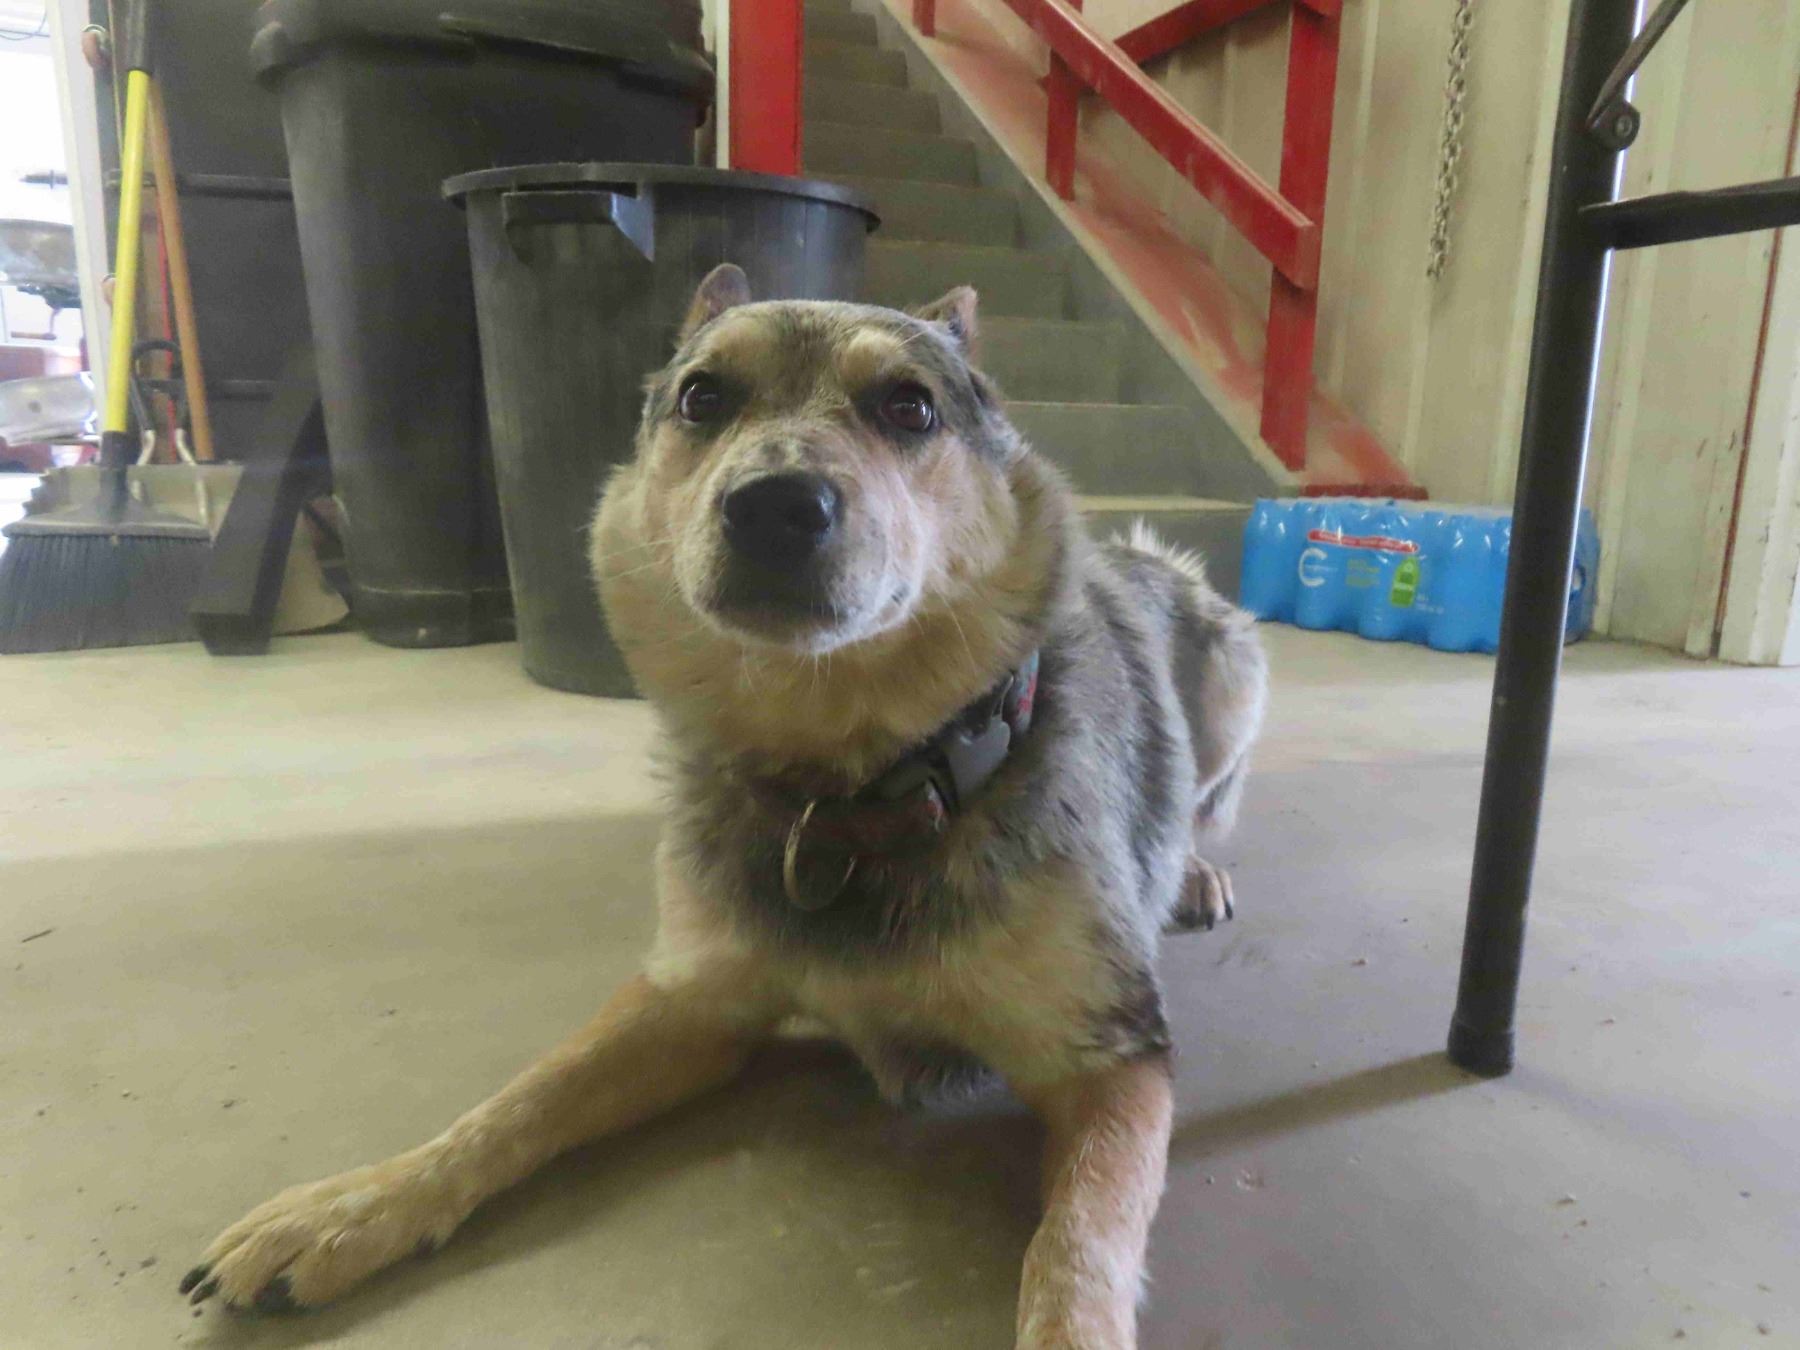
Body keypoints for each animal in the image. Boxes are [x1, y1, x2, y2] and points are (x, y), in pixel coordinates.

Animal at [181, 266, 1267, 1348]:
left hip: (1237, 672)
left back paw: (1194, 871)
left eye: (909, 406)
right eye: (703, 398)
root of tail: (1135, 555)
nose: (776, 506)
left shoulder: (1113, 1057)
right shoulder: (689, 999)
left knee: (1209, 798)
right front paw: (354, 1205)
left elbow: (1077, 1248)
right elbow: (523, 1097)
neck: (848, 796)